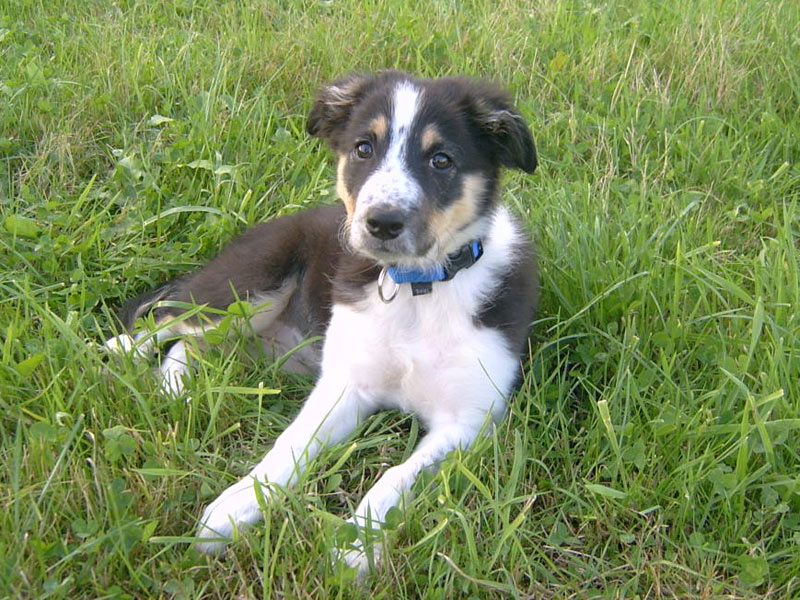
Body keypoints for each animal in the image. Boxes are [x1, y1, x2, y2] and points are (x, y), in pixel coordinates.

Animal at [106, 70, 540, 572]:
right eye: (363, 148)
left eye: (441, 160)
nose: (381, 222)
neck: (416, 288)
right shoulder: (345, 384)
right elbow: (291, 444)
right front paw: (238, 505)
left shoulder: (469, 421)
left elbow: (397, 475)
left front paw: (357, 544)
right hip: (245, 290)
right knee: (169, 319)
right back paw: (126, 356)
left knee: (190, 344)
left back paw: (173, 388)